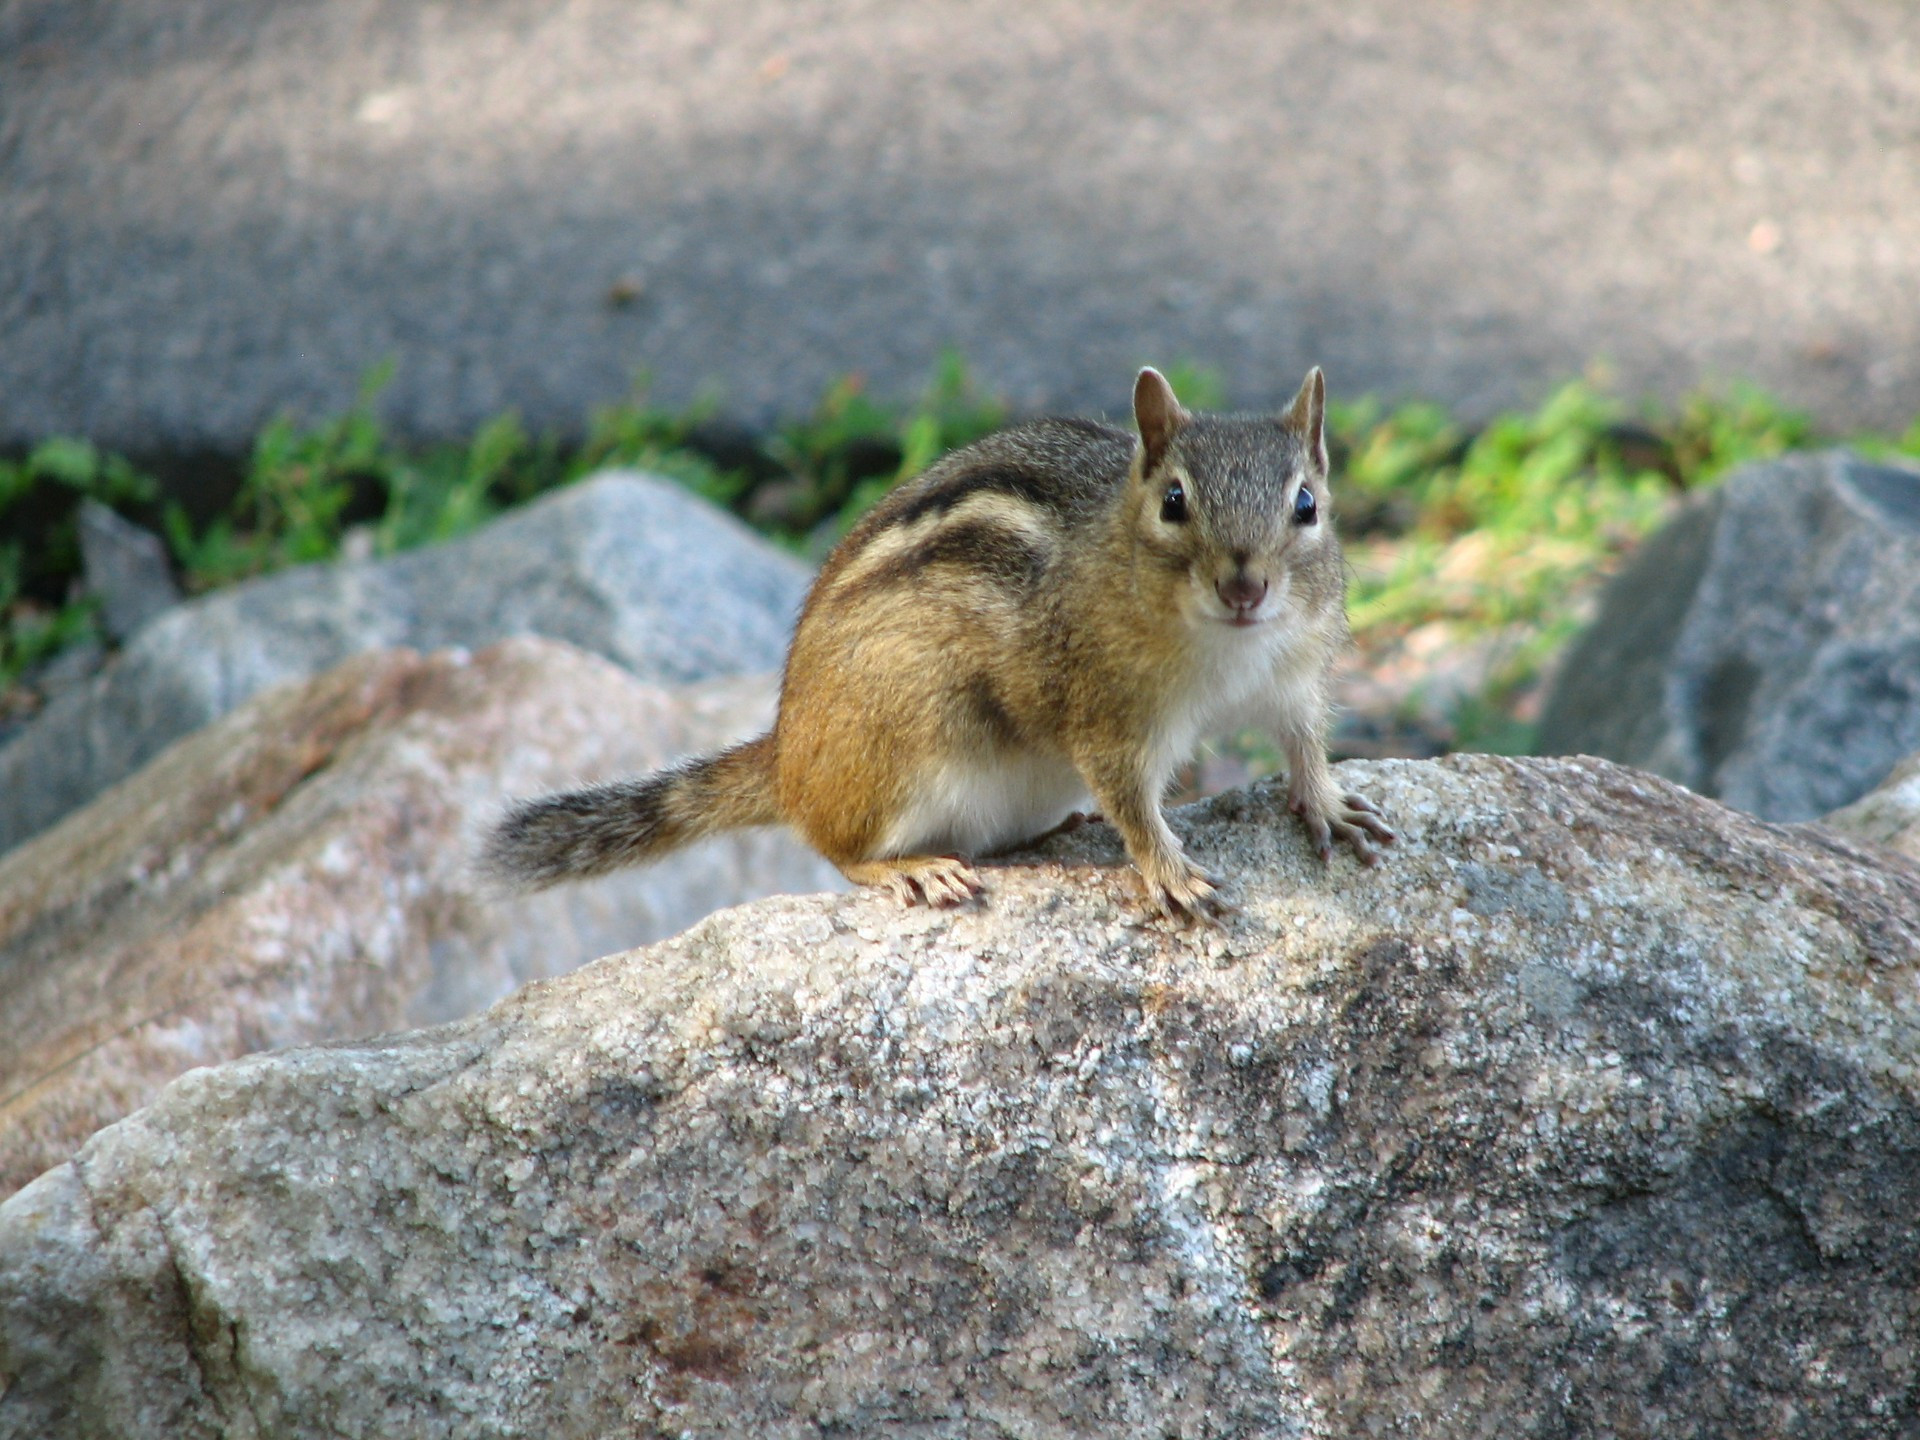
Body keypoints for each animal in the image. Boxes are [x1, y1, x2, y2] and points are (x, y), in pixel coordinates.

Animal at [483, 366, 1393, 920]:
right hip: (907, 754)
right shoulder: (1105, 711)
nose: (1245, 586)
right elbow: (1133, 803)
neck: (1227, 650)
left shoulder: (1294, 673)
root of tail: (788, 754)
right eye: (1174, 502)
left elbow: (1304, 740)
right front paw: (1170, 872)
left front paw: (1329, 801)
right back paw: (908, 868)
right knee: (834, 846)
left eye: (1307, 505)